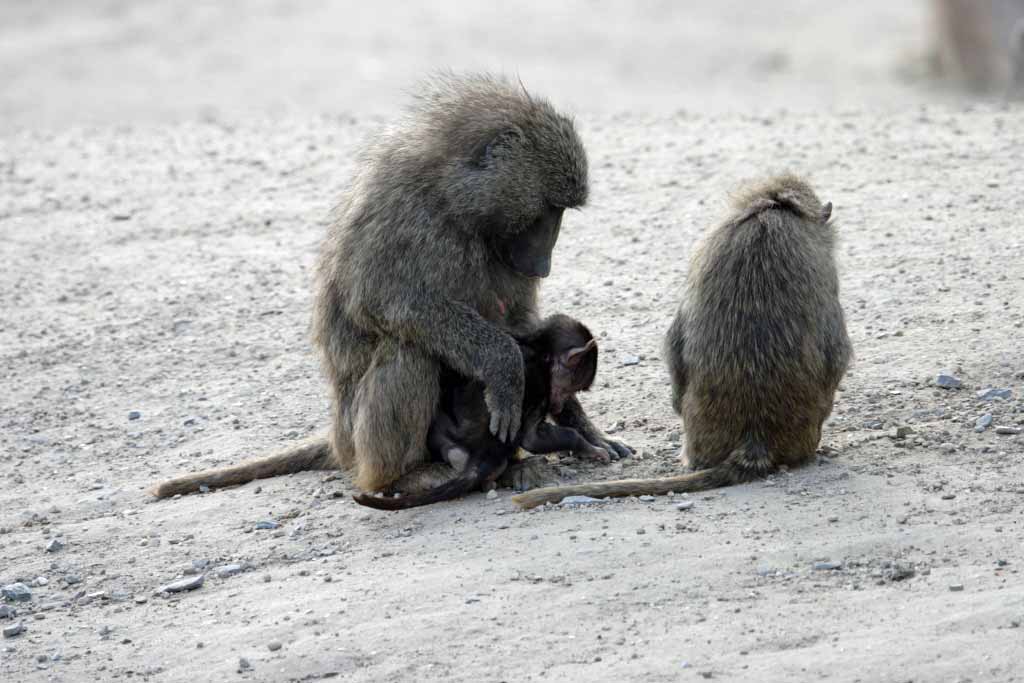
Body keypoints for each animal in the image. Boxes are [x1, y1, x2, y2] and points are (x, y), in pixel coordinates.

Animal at [353, 314, 606, 510]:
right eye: (571, 388)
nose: (559, 405)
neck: (538, 349)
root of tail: (481, 457)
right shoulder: (539, 382)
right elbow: (531, 439)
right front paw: (589, 447)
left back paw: (458, 458)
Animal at [512, 174, 851, 510]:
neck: (772, 209)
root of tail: (755, 440)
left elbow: (676, 340)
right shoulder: (823, 265)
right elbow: (838, 353)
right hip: (804, 434)